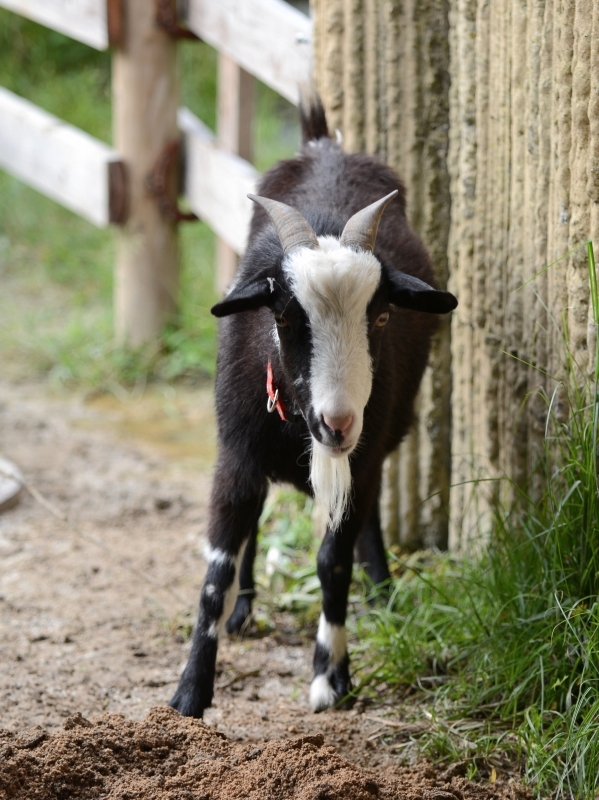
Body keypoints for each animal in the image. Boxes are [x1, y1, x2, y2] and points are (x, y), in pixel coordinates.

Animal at [169, 97, 460, 716]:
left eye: (381, 316)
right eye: (282, 316)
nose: (337, 421)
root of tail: (325, 143)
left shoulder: (360, 457)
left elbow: (333, 559)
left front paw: (331, 674)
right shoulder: (236, 454)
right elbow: (216, 568)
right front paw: (189, 693)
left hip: (378, 437)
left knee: (367, 514)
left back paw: (382, 592)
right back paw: (245, 610)